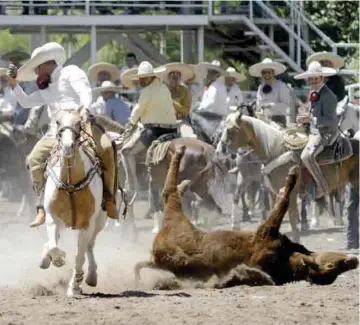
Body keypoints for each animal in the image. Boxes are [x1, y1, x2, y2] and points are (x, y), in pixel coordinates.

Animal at [40, 109, 106, 296]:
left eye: (78, 123)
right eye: (57, 122)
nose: (68, 146)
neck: (70, 184)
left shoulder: (87, 224)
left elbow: (79, 257)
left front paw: (74, 286)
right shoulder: (52, 218)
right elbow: (54, 247)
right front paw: (57, 258)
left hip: (99, 222)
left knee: (89, 246)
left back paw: (90, 276)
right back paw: (46, 258)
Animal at [218, 112, 358, 242]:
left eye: (230, 130)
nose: (220, 151)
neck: (275, 151)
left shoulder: (290, 192)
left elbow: (291, 217)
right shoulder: (271, 192)